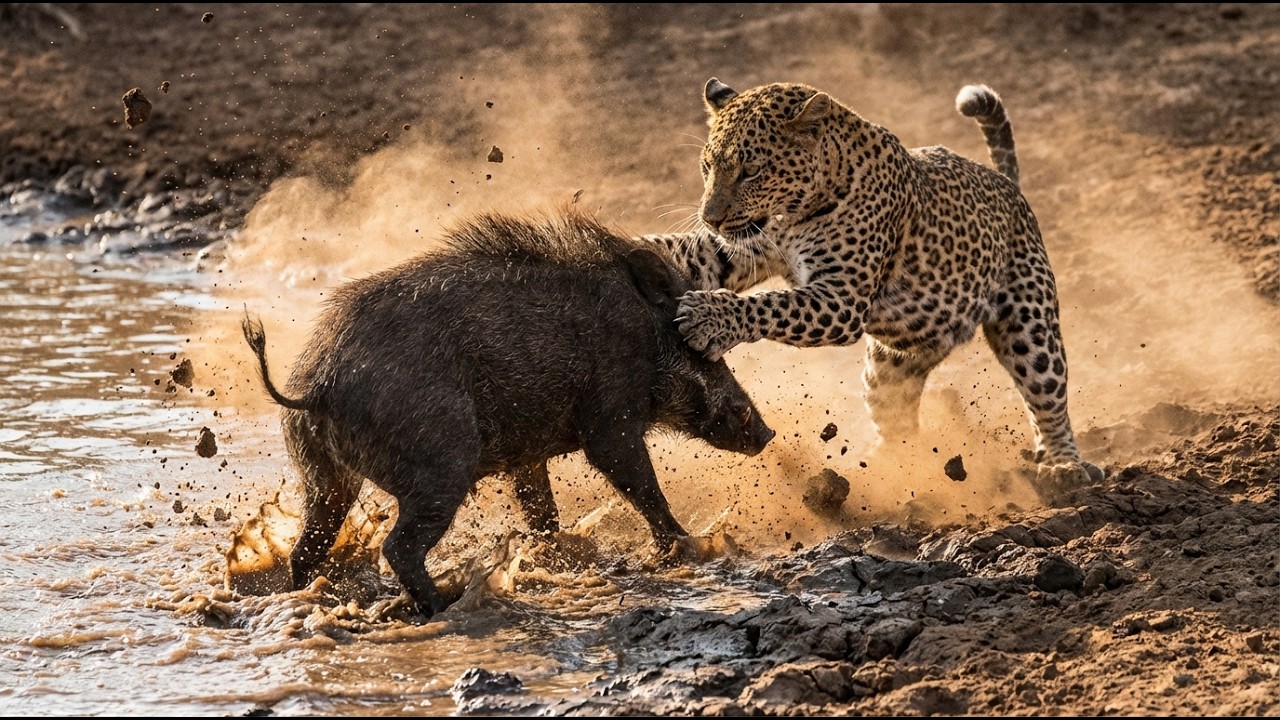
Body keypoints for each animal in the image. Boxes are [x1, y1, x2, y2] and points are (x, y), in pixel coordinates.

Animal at [641, 78, 1104, 493]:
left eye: (750, 171)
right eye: (707, 167)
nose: (710, 218)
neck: (792, 215)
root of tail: (1005, 183)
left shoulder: (841, 298)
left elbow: (771, 305)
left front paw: (710, 318)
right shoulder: (736, 250)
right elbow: (682, 252)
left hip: (1029, 325)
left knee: (1047, 397)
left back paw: (1064, 464)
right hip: (892, 363)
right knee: (896, 417)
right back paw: (885, 469)